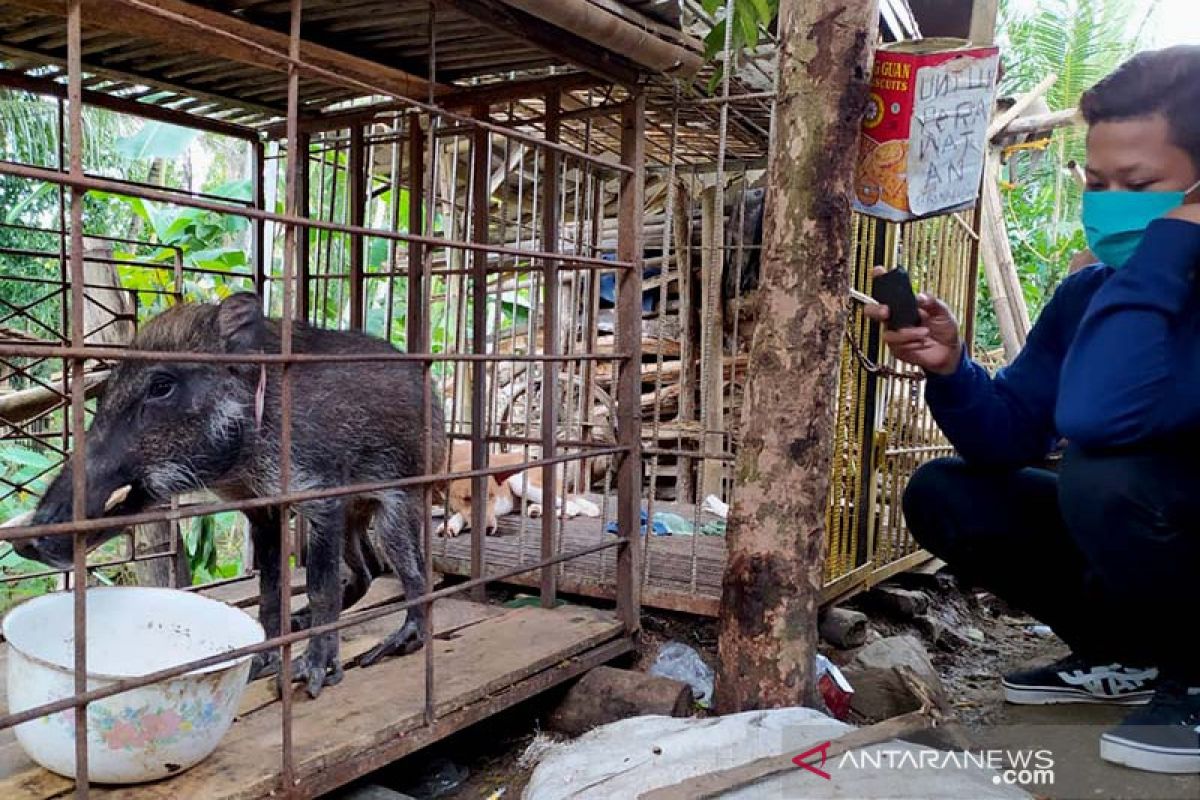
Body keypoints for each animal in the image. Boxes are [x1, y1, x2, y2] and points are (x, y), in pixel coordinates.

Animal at [436, 438, 600, 537]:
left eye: (491, 496)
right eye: (466, 498)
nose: (488, 530)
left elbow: (460, 513)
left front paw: (450, 525)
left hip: (519, 481)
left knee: (572, 504)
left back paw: (559, 513)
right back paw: (536, 509)